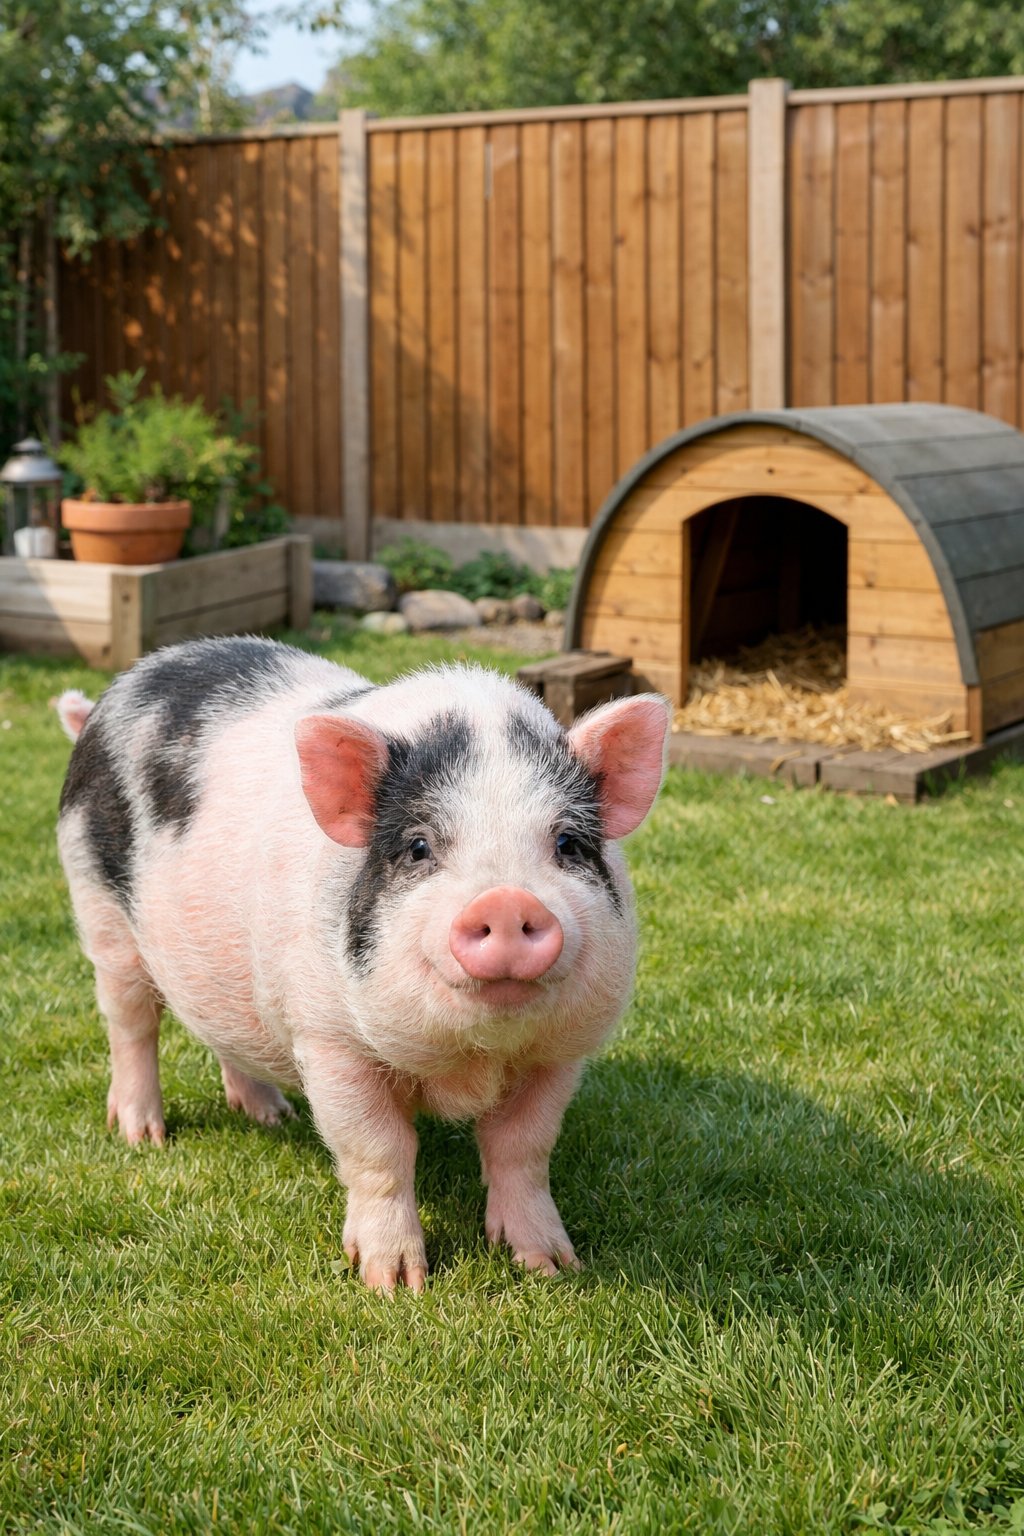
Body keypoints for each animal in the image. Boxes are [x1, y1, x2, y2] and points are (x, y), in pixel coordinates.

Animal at [56, 637, 669, 1291]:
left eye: (568, 844)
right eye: (419, 846)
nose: (507, 901)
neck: (471, 1059)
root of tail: (121, 687)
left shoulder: (559, 1052)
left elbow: (523, 1148)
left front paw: (550, 1266)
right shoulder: (330, 1040)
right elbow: (379, 1149)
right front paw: (393, 1284)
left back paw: (271, 1117)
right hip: (99, 911)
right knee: (130, 1023)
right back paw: (142, 1136)